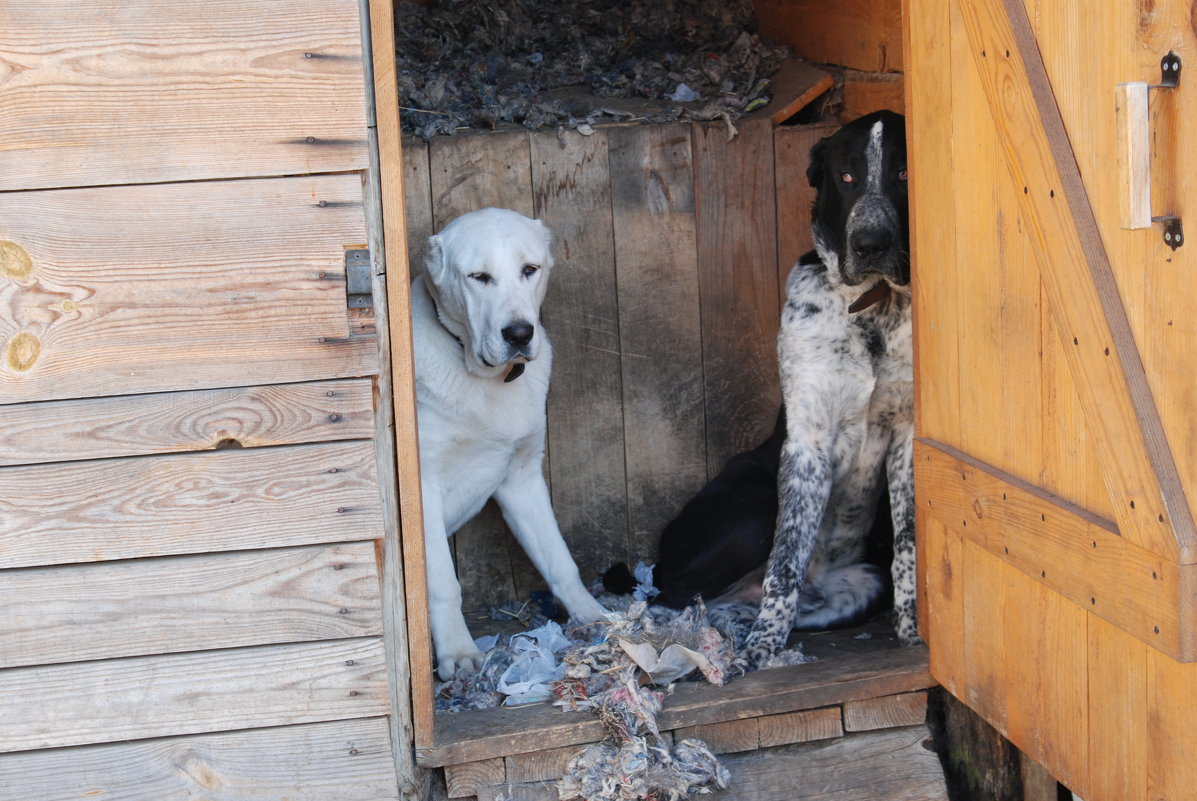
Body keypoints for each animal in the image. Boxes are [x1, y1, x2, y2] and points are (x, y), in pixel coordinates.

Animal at [416, 208, 612, 680]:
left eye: (530, 270)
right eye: (479, 277)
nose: (520, 334)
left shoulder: (522, 478)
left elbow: (560, 559)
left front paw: (595, 618)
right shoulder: (422, 487)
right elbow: (444, 583)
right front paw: (458, 653)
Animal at [742, 109, 919, 665]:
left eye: (903, 173)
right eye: (846, 176)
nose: (870, 244)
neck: (872, 305)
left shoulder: (909, 440)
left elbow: (909, 543)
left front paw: (914, 633)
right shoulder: (807, 443)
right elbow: (784, 559)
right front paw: (760, 647)